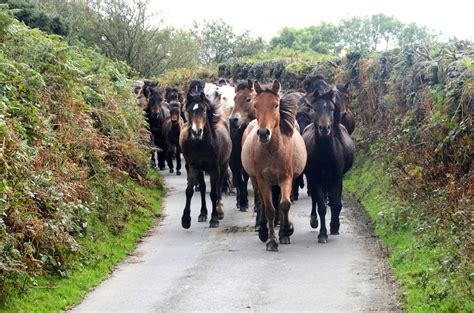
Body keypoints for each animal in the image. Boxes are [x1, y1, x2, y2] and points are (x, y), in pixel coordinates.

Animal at [180, 79, 231, 228]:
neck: (202, 145)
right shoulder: (193, 166)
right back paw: (203, 213)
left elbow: (214, 192)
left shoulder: (215, 168)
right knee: (202, 188)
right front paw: (186, 219)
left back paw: (219, 210)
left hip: (224, 165)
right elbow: (190, 190)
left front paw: (214, 219)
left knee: (219, 186)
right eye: (189, 110)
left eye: (203, 110)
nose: (197, 132)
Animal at [241, 80, 308, 251]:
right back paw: (262, 228)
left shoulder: (286, 178)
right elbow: (269, 208)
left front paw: (285, 232)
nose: (264, 133)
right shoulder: (263, 180)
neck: (272, 150)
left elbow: (284, 204)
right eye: (256, 105)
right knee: (261, 202)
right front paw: (271, 240)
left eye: (275, 105)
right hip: (255, 179)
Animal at [302, 88, 354, 244]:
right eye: (315, 108)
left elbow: (335, 203)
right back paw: (314, 220)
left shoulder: (336, 177)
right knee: (315, 199)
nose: (324, 128)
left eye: (331, 108)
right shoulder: (315, 178)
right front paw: (322, 234)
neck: (325, 153)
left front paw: (334, 226)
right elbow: (322, 207)